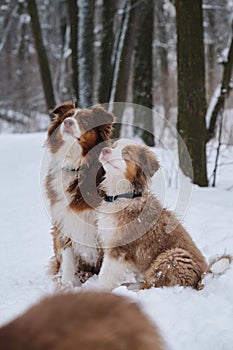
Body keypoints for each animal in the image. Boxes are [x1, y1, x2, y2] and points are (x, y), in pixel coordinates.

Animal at [44, 100, 114, 284]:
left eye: (85, 121)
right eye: (67, 117)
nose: (67, 122)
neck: (76, 167)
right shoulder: (64, 220)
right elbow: (68, 260)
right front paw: (66, 285)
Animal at [97, 138, 231, 292]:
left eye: (126, 153)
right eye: (113, 147)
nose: (104, 150)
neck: (123, 195)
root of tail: (203, 272)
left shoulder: (120, 248)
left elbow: (105, 276)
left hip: (170, 258)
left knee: (150, 284)